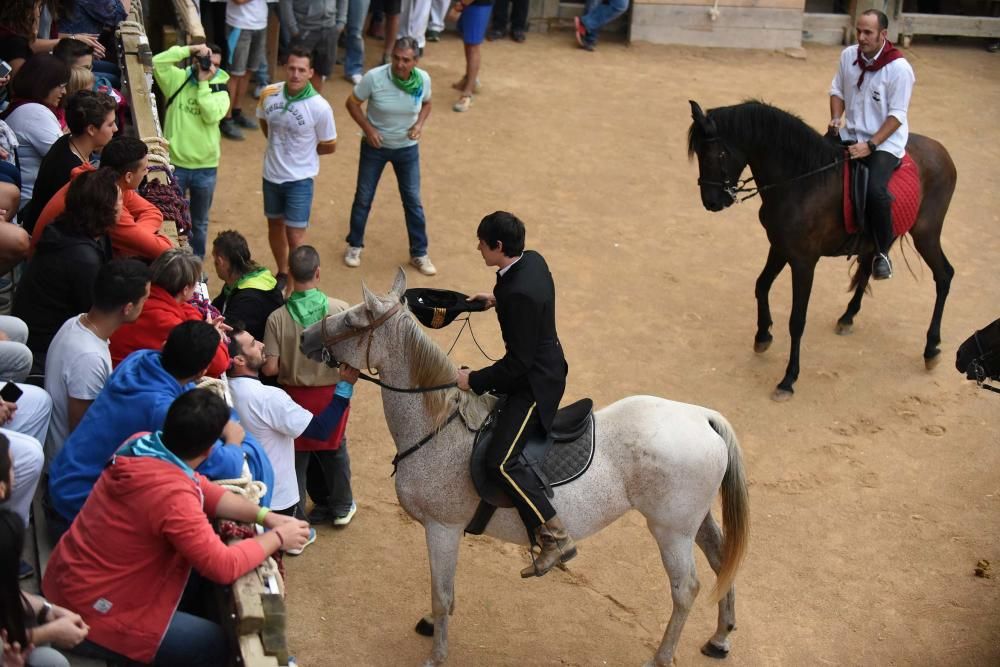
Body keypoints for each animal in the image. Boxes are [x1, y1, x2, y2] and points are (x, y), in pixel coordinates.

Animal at [300, 272, 752, 667]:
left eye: (354, 320)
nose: (305, 336)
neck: (438, 424)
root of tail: (702, 416)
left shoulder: (441, 527)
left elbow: (441, 594)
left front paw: (436, 655)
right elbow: (444, 591)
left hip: (670, 531)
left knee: (685, 589)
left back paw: (659, 658)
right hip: (693, 523)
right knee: (721, 561)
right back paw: (720, 637)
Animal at [688, 102, 952, 400]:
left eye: (719, 153)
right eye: (698, 153)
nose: (711, 202)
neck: (800, 182)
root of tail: (941, 150)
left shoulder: (804, 262)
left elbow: (797, 319)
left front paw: (788, 379)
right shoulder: (780, 247)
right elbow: (761, 286)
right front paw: (762, 336)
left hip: (926, 235)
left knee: (944, 276)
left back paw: (931, 348)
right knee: (868, 266)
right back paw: (848, 316)